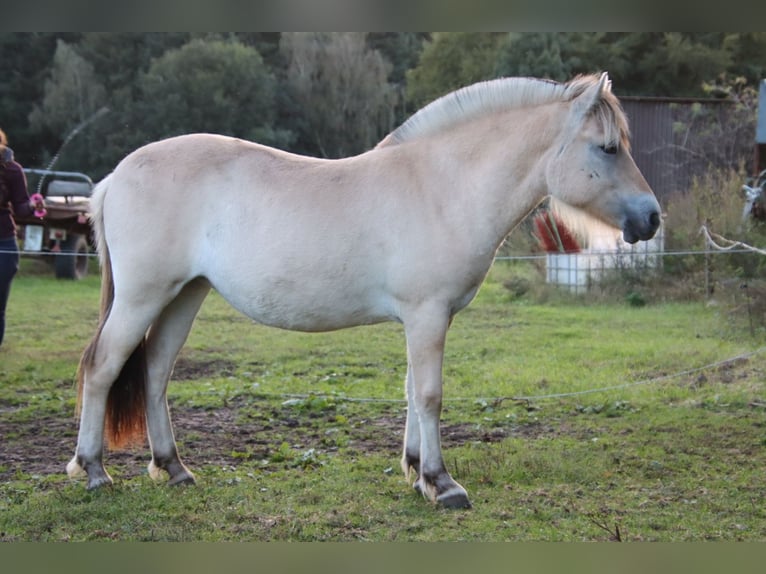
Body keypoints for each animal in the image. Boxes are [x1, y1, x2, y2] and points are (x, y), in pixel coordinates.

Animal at [69, 72, 664, 508]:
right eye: (608, 148)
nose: (652, 217)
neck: (441, 187)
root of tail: (114, 178)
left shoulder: (429, 318)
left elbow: (411, 390)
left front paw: (414, 468)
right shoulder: (427, 314)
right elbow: (430, 394)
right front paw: (441, 483)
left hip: (184, 295)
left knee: (154, 373)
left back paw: (173, 468)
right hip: (144, 296)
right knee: (103, 367)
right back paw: (94, 471)